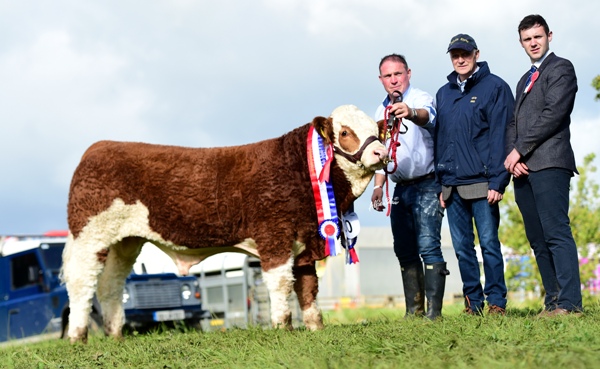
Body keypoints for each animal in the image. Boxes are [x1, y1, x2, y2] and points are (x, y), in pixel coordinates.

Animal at [61, 103, 386, 342]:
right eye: (345, 132)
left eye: (377, 131)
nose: (380, 152)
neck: (298, 168)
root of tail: (98, 148)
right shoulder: (274, 235)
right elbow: (281, 283)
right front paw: (283, 327)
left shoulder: (306, 240)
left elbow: (308, 287)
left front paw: (315, 327)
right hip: (91, 235)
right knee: (82, 282)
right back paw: (78, 337)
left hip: (125, 241)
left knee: (110, 284)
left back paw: (115, 335)